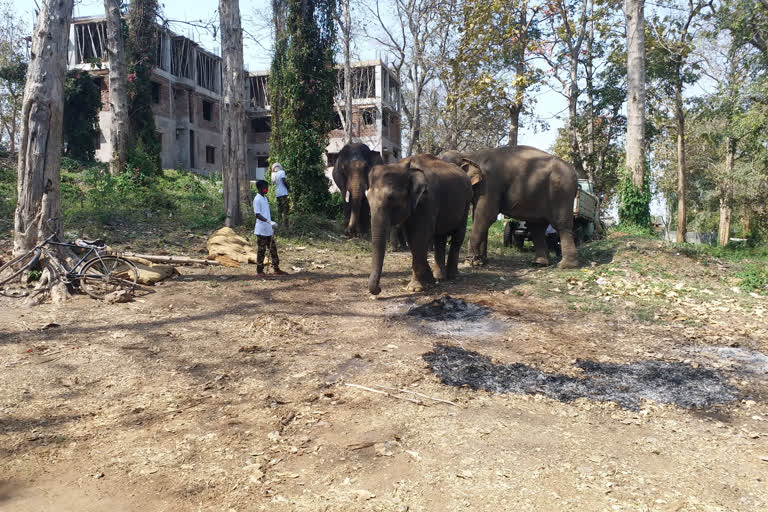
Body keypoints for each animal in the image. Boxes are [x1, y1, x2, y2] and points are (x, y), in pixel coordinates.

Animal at [368, 153, 484, 296]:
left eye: (392, 198)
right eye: (367, 198)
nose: (379, 289)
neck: (405, 167)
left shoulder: (427, 199)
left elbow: (419, 235)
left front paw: (416, 288)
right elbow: (412, 237)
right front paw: (428, 283)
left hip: (466, 201)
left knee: (458, 235)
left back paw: (453, 277)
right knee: (440, 238)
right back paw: (439, 277)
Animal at [440, 144, 580, 268]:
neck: (470, 155)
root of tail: (574, 172)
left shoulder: (490, 184)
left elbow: (486, 215)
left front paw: (470, 263)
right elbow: (479, 217)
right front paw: (481, 262)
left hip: (562, 192)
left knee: (561, 225)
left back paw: (565, 266)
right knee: (537, 227)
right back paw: (539, 263)